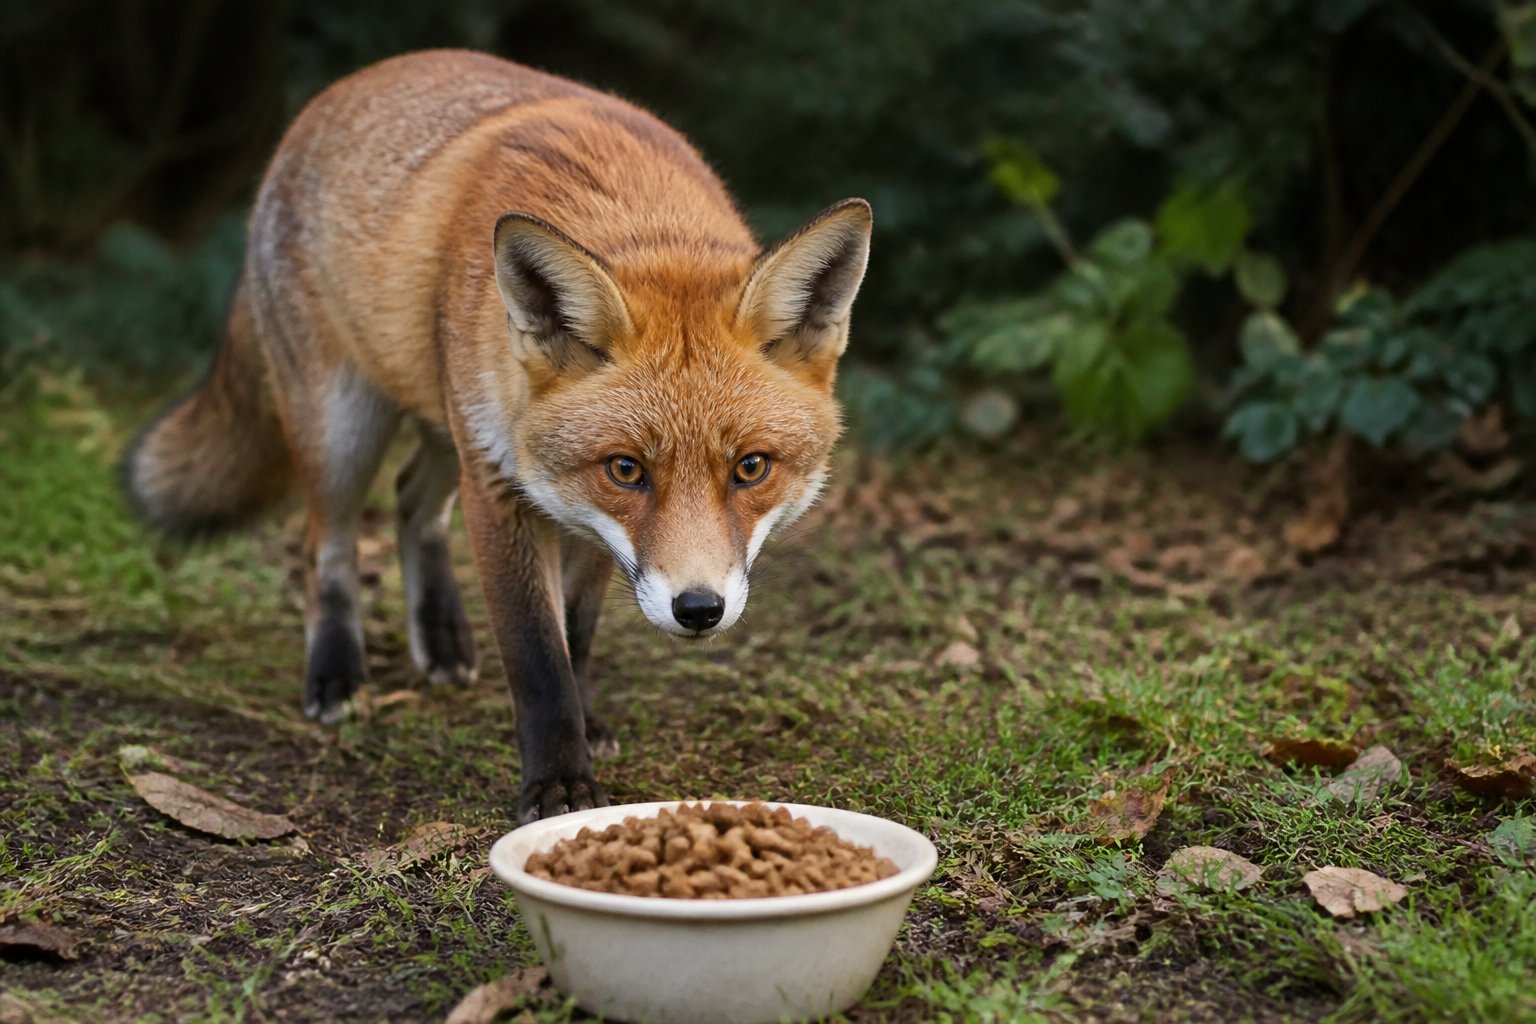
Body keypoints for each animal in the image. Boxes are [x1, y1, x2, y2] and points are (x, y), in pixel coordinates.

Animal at [122, 50, 870, 822]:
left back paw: (441, 636)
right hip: (344, 426)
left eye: (751, 467)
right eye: (627, 469)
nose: (698, 610)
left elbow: (578, 637)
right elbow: (538, 657)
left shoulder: (582, 517)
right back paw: (335, 674)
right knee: (321, 547)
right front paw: (560, 784)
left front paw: (587, 725)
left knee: (411, 502)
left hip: (441, 422)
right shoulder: (501, 490)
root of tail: (341, 91)